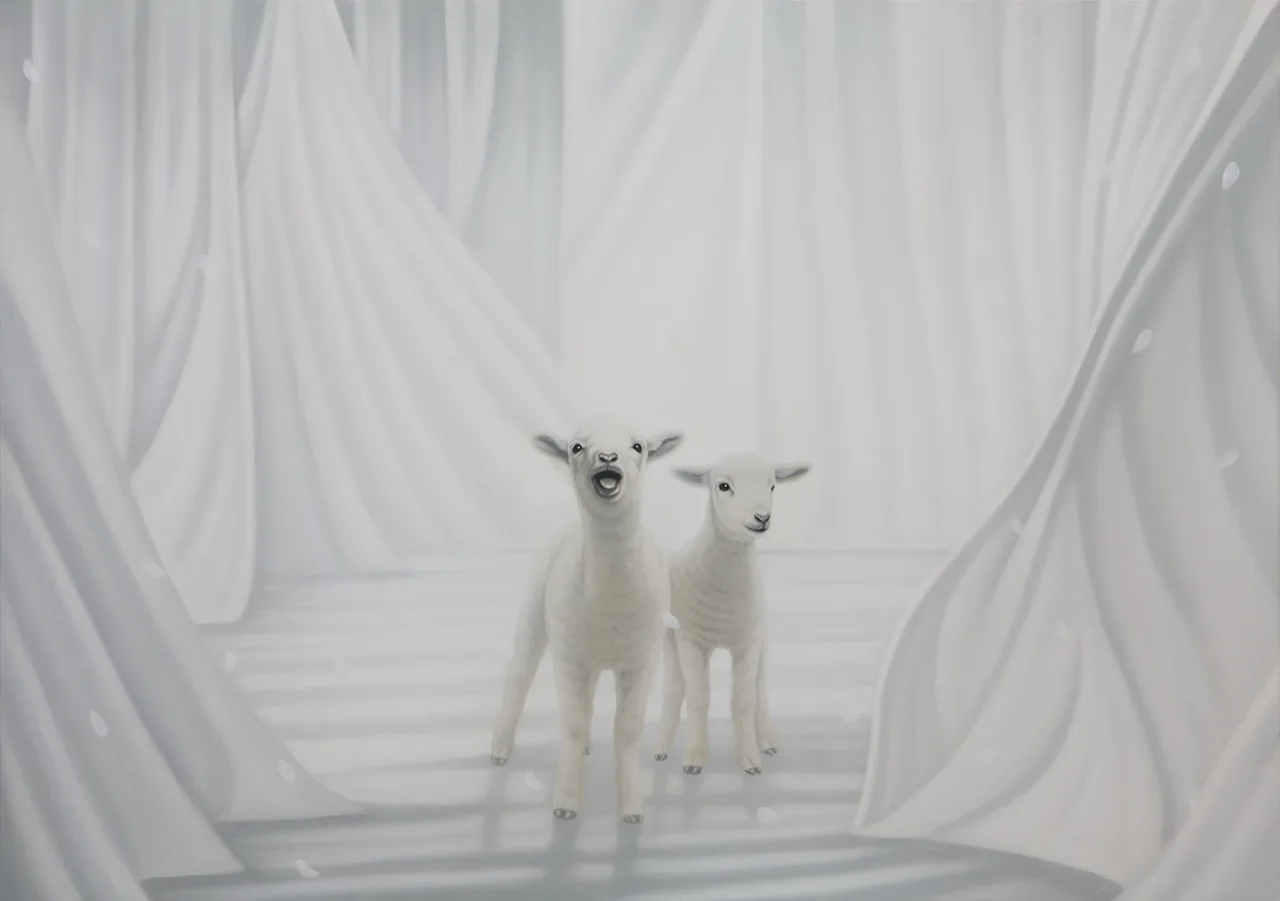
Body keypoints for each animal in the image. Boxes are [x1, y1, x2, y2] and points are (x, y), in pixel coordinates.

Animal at [489, 418, 684, 824]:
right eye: (576, 447)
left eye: (638, 446)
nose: (607, 457)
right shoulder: (569, 659)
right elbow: (573, 725)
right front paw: (565, 804)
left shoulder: (641, 661)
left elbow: (628, 730)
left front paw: (631, 809)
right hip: (535, 611)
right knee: (519, 675)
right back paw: (499, 750)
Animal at [652, 453, 810, 776]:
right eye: (723, 486)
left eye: (772, 486)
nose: (762, 518)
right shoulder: (691, 641)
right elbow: (698, 697)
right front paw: (695, 759)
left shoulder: (749, 642)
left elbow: (744, 700)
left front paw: (750, 758)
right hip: (671, 639)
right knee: (674, 688)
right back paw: (661, 747)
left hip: (762, 637)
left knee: (761, 689)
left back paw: (768, 741)